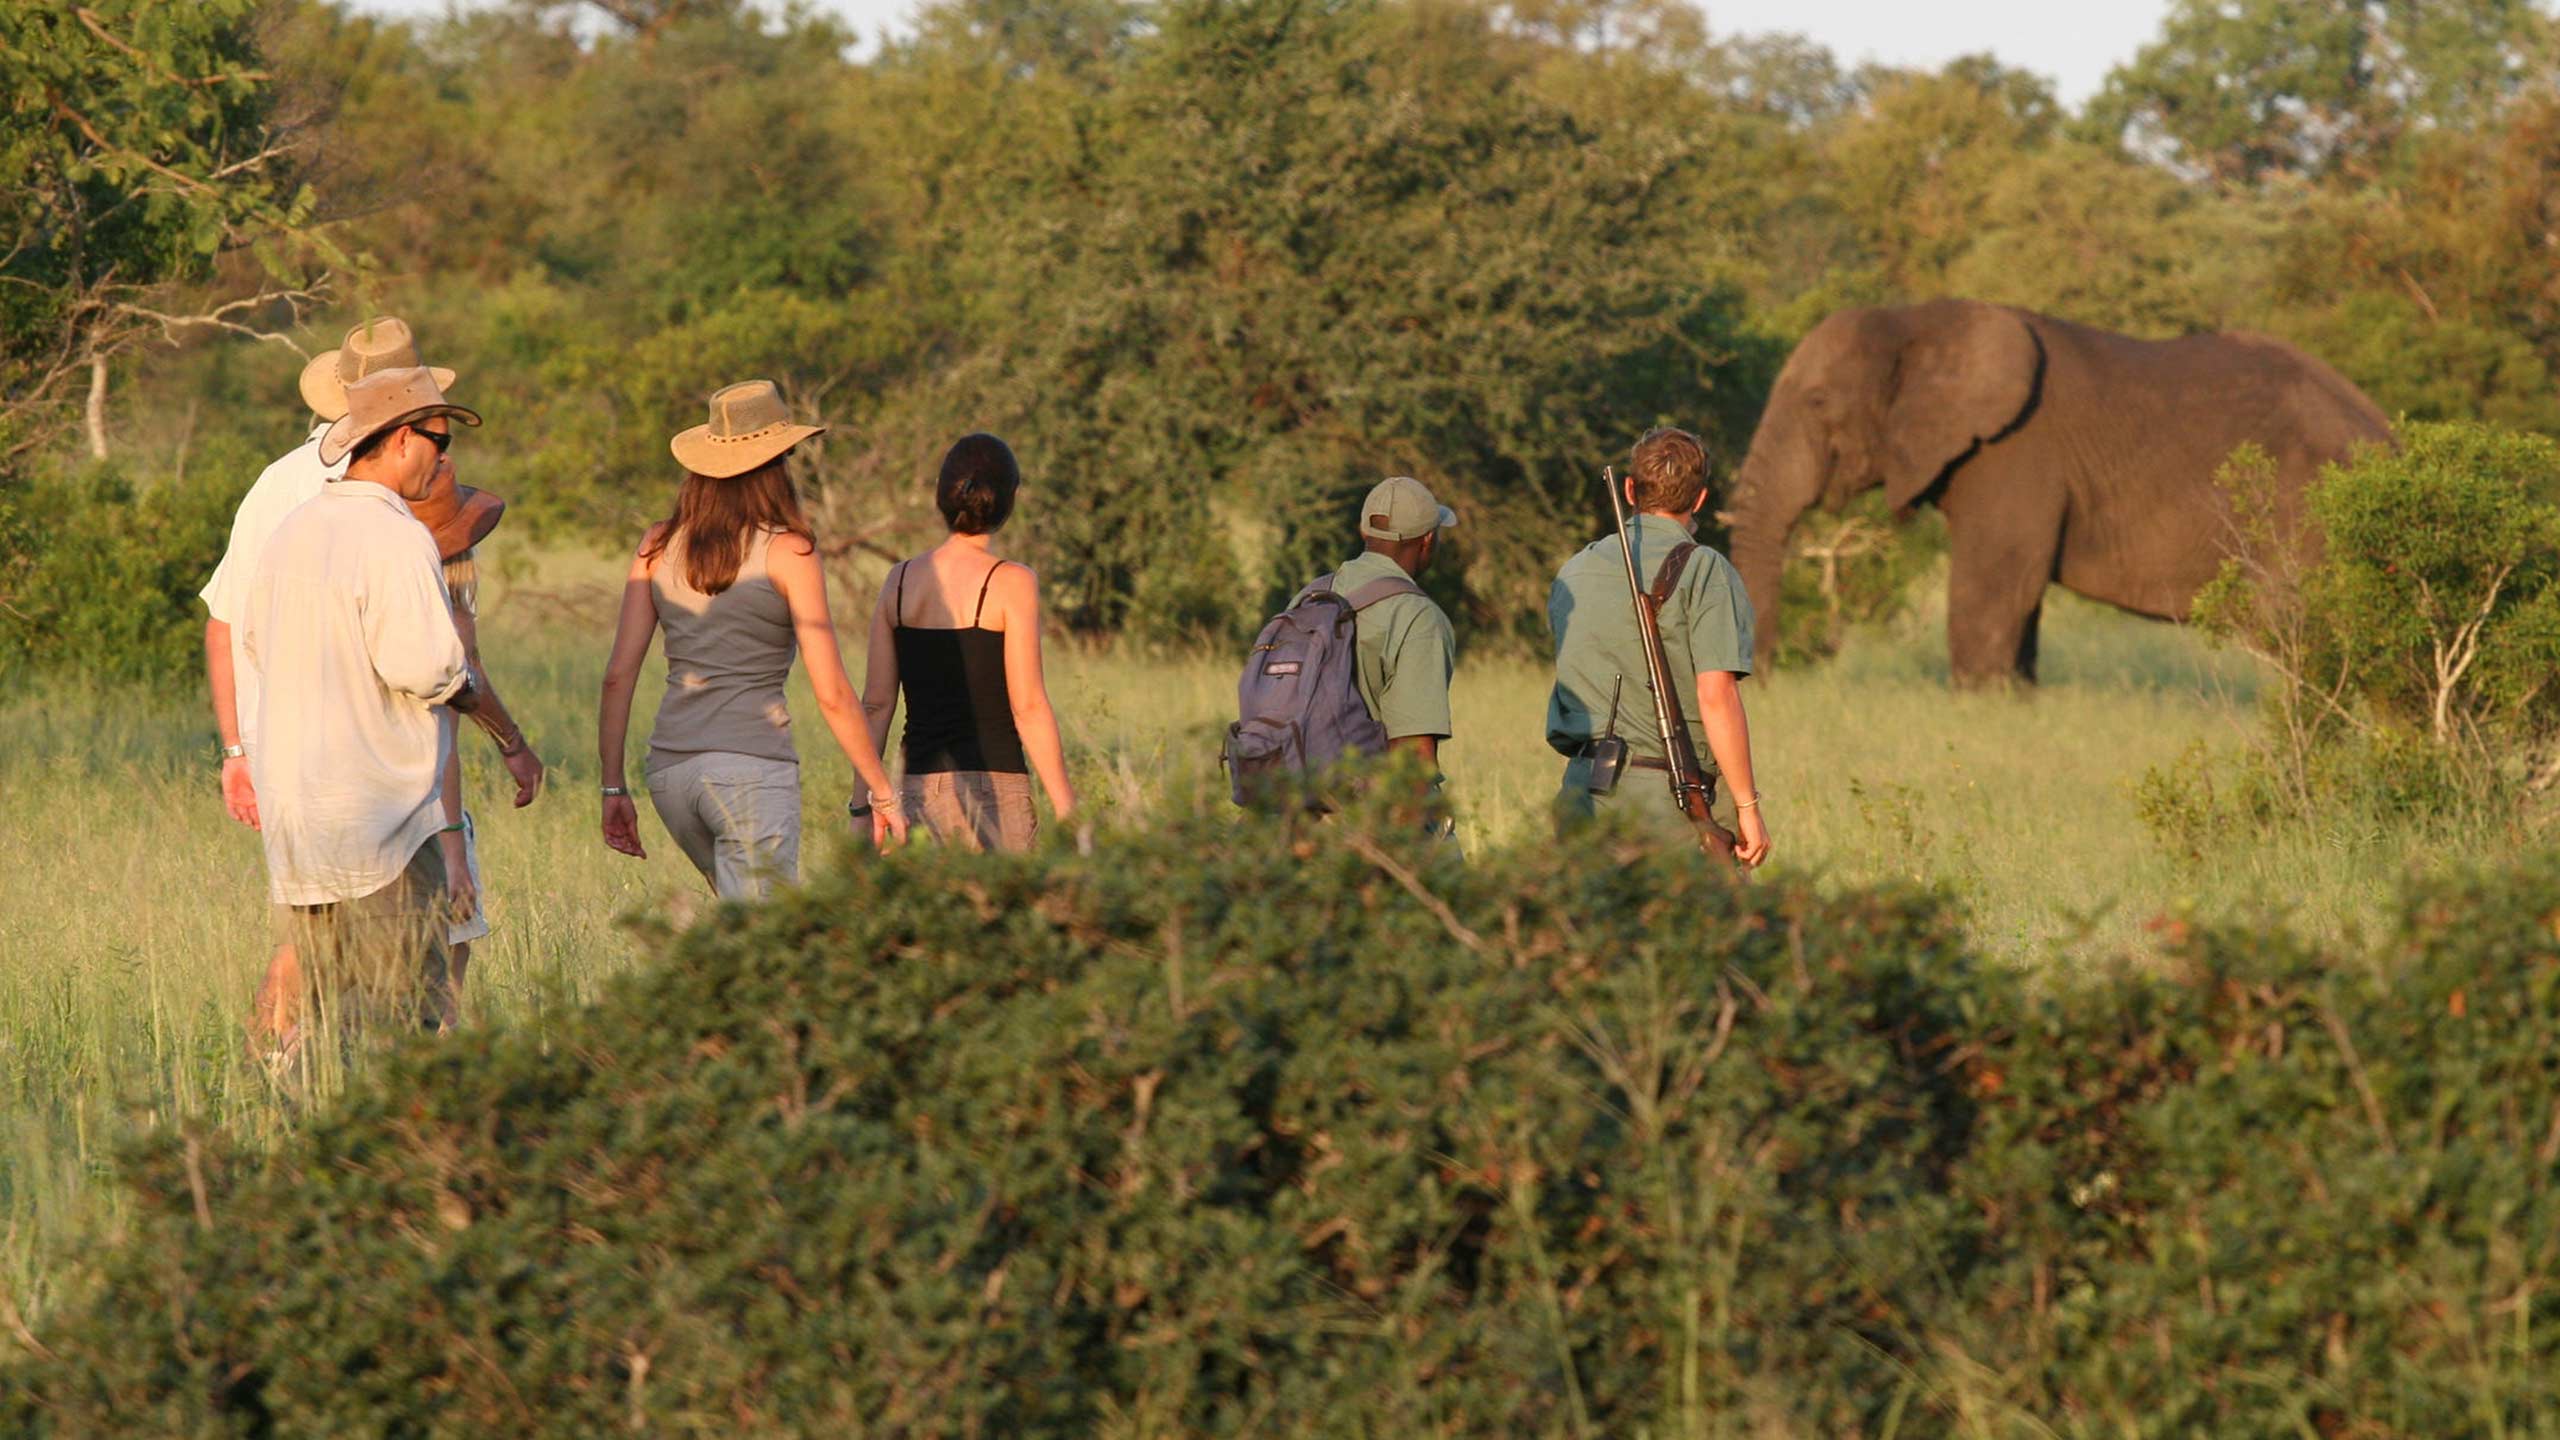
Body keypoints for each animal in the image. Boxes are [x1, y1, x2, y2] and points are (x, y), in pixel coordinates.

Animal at [1720, 294, 2396, 686]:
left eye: (1816, 402)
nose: (1763, 680)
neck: (1920, 320)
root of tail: (2387, 432)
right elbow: (2019, 605)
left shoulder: (2016, 453)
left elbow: (1993, 591)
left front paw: (1982, 710)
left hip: (2306, 502)